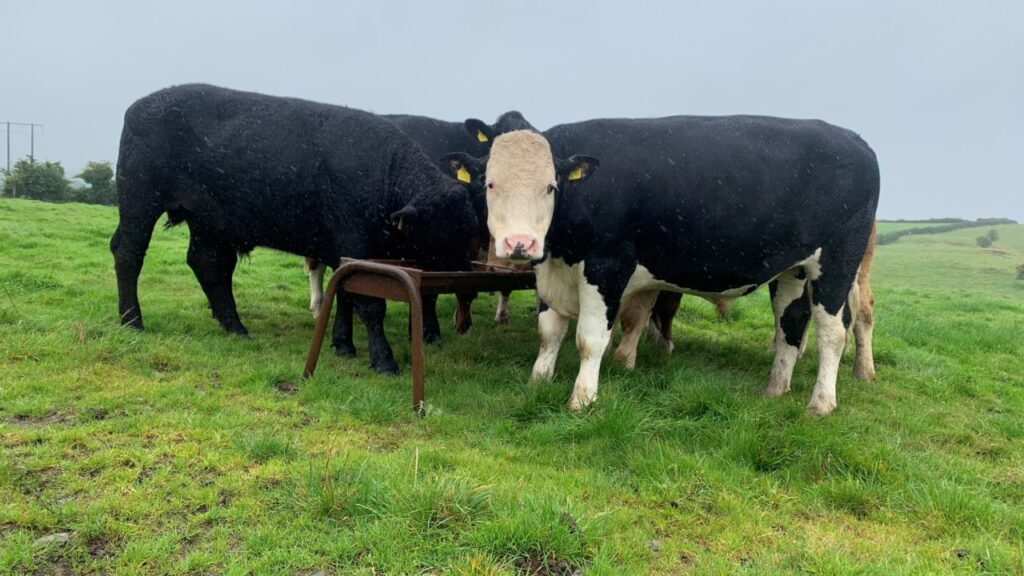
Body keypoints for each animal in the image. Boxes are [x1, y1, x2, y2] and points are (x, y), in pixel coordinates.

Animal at [110, 84, 478, 375]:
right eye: (441, 231)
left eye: (471, 224)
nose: (467, 283)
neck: (383, 174)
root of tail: (139, 106)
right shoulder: (355, 244)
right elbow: (370, 304)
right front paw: (383, 360)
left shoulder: (341, 250)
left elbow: (344, 295)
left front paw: (343, 345)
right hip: (139, 201)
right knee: (128, 252)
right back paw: (132, 321)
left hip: (208, 221)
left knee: (208, 265)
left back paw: (234, 326)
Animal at [475, 117, 879, 415]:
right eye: (490, 184)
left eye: (550, 187)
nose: (520, 243)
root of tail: (853, 138)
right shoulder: (551, 270)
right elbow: (549, 332)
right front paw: (538, 381)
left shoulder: (607, 267)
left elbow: (590, 339)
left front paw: (582, 399)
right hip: (791, 270)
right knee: (791, 323)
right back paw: (775, 388)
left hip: (839, 263)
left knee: (832, 330)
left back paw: (822, 403)